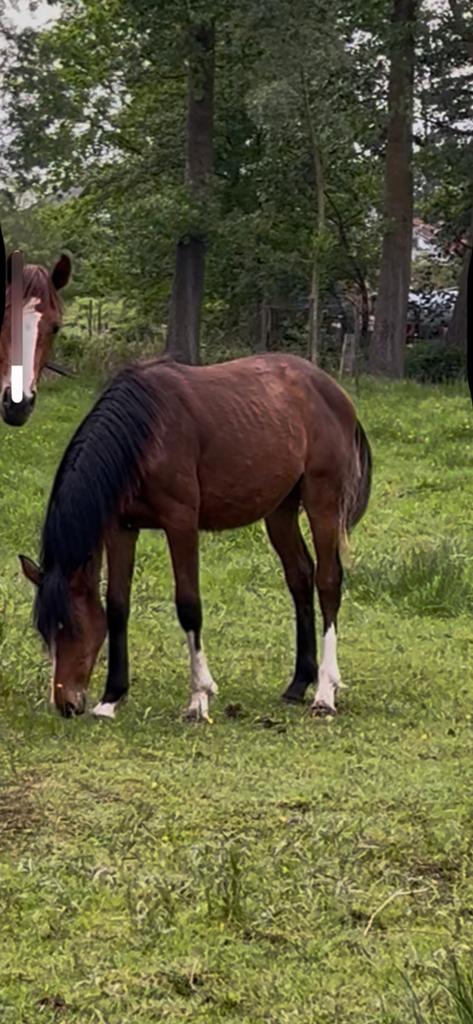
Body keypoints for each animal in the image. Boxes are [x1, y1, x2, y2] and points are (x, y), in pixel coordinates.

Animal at [19, 352, 372, 721]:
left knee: (327, 580)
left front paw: (199, 698)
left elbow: (189, 605)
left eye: (72, 626)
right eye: (44, 631)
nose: (66, 704)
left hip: (323, 501)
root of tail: (332, 390)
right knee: (300, 577)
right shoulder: (121, 529)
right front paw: (111, 698)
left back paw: (325, 693)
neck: (144, 434)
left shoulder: (181, 523)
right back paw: (298, 684)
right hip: (280, 510)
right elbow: (117, 605)